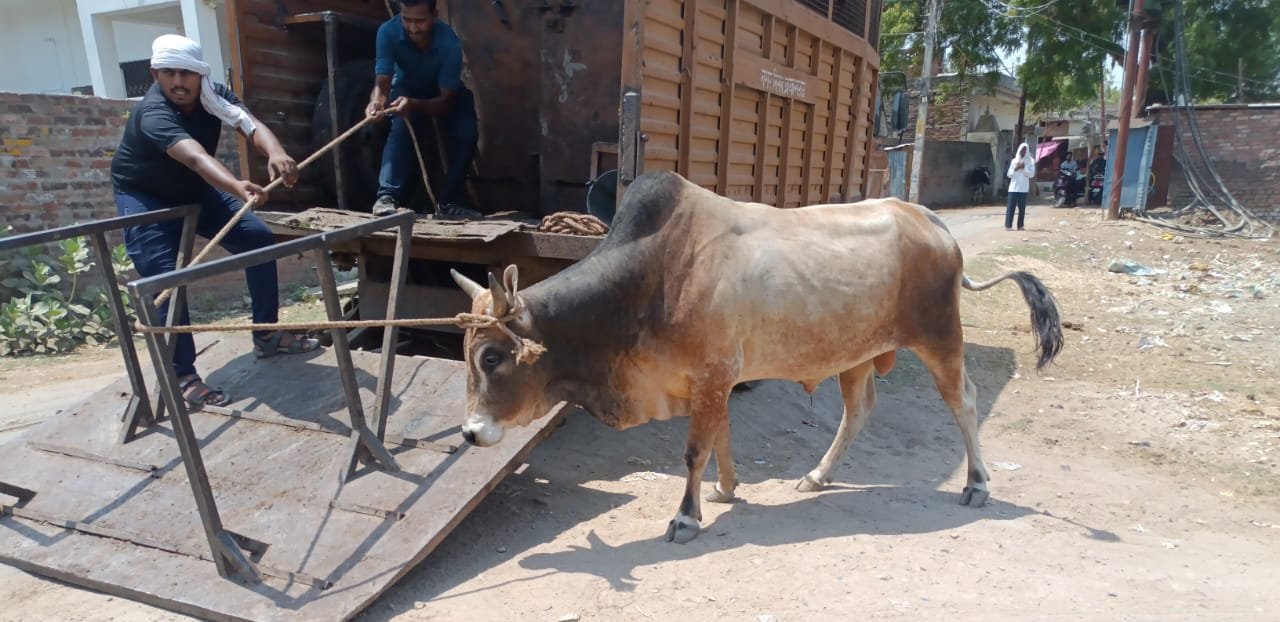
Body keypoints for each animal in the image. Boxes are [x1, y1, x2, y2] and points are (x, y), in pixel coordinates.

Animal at [450, 170, 1059, 545]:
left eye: (491, 358)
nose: (470, 434)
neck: (652, 278)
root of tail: (932, 221)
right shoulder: (713, 380)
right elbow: (720, 435)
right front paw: (725, 489)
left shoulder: (713, 373)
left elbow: (695, 449)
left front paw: (686, 516)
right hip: (855, 354)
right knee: (859, 410)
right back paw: (817, 476)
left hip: (940, 339)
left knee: (964, 402)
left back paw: (976, 484)